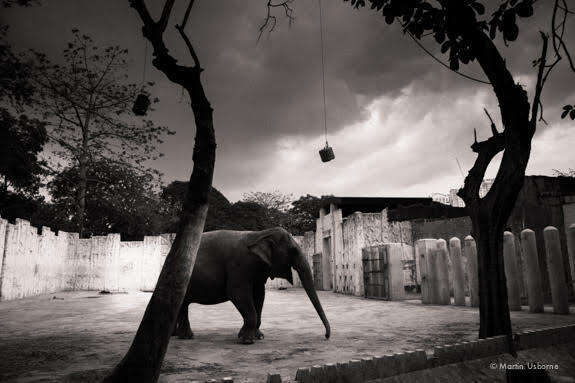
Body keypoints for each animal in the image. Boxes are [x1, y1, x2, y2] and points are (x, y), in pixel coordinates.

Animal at [171, 228, 330, 344]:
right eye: (293, 251)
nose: (326, 336)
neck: (260, 234)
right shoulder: (240, 265)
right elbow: (237, 293)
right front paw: (246, 340)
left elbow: (259, 294)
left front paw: (258, 336)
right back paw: (185, 337)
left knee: (181, 305)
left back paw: (176, 335)